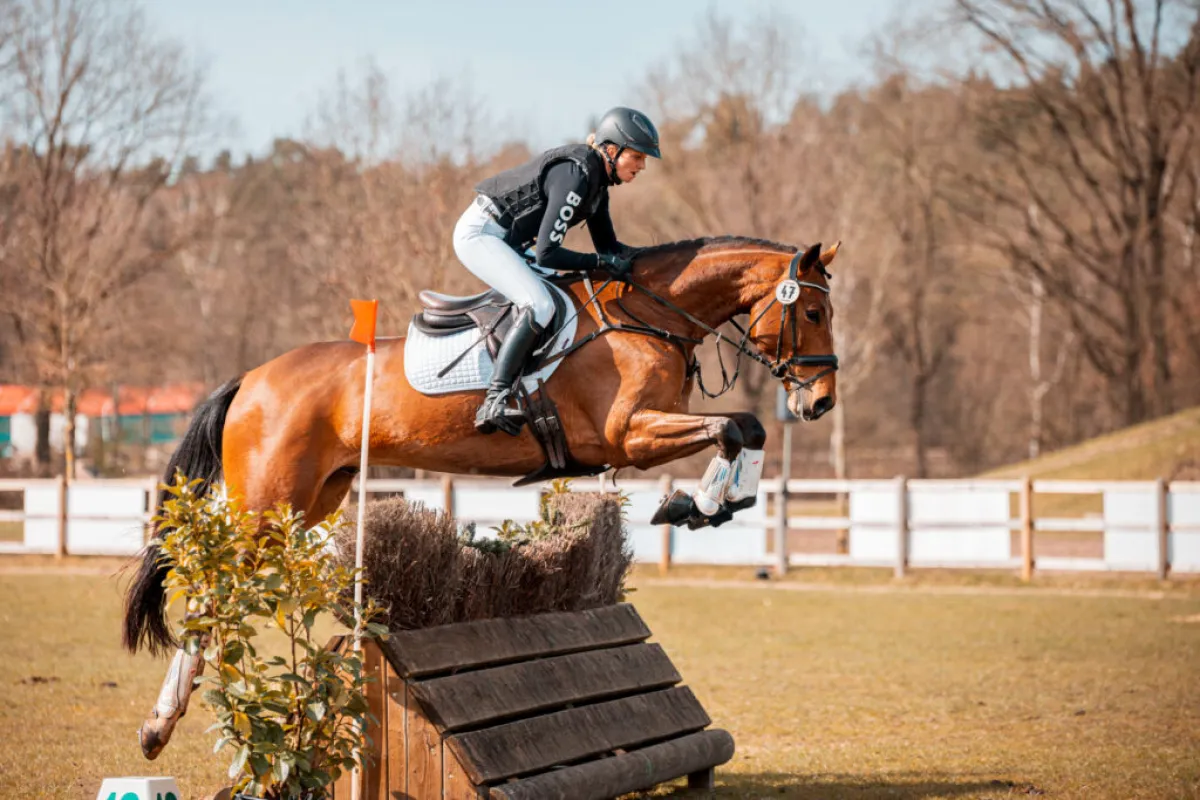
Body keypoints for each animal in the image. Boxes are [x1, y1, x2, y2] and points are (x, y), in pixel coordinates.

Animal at [119, 235, 835, 662]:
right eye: (815, 313)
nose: (820, 402)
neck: (648, 315)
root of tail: (252, 379)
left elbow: (747, 429)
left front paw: (719, 502)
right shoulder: (628, 434)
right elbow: (734, 428)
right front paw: (697, 506)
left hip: (311, 501)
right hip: (265, 506)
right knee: (210, 588)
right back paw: (166, 723)